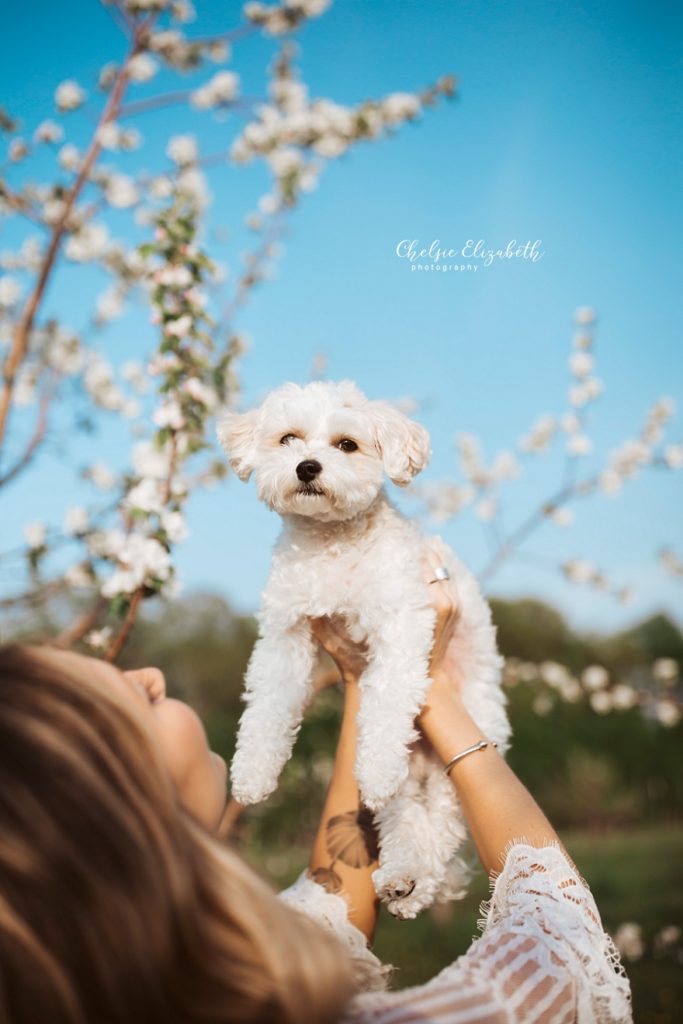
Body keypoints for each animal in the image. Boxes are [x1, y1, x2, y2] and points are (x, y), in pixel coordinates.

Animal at [216, 382, 509, 921]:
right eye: (288, 438)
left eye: (347, 445)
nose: (307, 467)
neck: (332, 544)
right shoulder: (285, 634)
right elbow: (268, 708)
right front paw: (251, 773)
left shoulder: (400, 624)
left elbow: (387, 702)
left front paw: (374, 770)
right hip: (411, 777)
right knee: (406, 818)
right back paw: (403, 880)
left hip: (461, 746)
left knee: (441, 818)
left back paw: (413, 881)